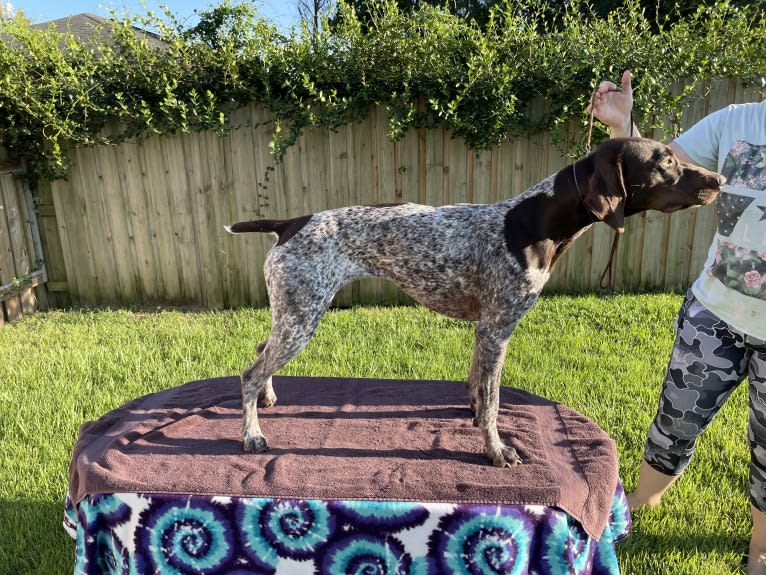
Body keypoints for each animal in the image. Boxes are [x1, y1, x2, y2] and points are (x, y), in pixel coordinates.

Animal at [226, 138, 728, 468]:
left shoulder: (486, 330)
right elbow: (493, 400)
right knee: (249, 372)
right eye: (665, 160)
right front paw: (496, 449)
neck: (537, 221)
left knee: (260, 354)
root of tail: (292, 222)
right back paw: (252, 433)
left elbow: (477, 387)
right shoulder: (497, 329)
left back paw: (268, 398)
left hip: (293, 312)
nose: (720, 179)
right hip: (302, 316)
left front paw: (473, 417)